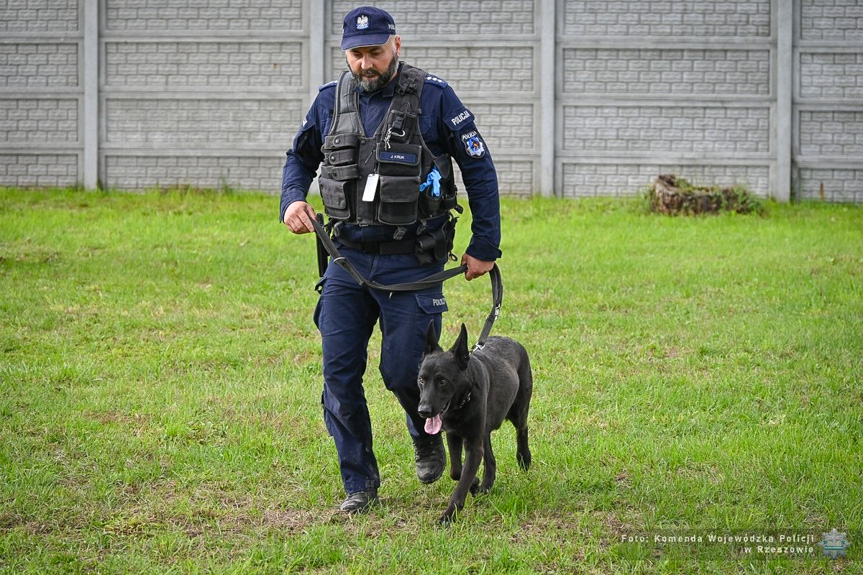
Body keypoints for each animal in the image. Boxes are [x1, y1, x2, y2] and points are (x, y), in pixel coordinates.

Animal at [418, 322, 532, 524]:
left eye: (442, 381)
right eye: (422, 379)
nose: (423, 411)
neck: (463, 401)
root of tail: (512, 340)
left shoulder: (473, 445)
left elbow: (462, 482)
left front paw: (449, 516)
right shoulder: (453, 435)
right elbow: (457, 471)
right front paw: (475, 483)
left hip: (518, 409)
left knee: (522, 428)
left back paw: (523, 458)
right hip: (483, 430)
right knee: (490, 459)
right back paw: (486, 484)